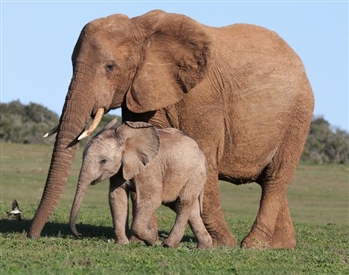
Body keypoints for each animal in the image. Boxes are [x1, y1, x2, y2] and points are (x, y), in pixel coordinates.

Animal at [68, 118, 212, 250]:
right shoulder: (120, 169)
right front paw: (122, 244)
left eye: (103, 161)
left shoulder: (149, 168)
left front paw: (153, 239)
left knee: (183, 203)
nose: (79, 235)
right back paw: (204, 248)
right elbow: (117, 198)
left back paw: (168, 245)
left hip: (196, 174)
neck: (126, 140)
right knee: (190, 209)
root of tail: (201, 152)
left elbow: (152, 199)